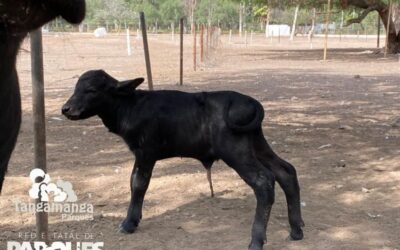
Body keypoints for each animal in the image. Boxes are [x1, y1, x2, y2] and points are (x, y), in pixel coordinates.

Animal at [62, 69, 304, 249]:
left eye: (91, 90)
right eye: (76, 88)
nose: (66, 109)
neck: (132, 106)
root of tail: (248, 101)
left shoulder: (146, 152)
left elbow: (139, 184)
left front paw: (129, 223)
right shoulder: (138, 155)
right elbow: (132, 182)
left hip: (236, 151)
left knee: (264, 181)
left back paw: (256, 240)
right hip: (257, 144)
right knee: (286, 171)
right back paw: (296, 229)